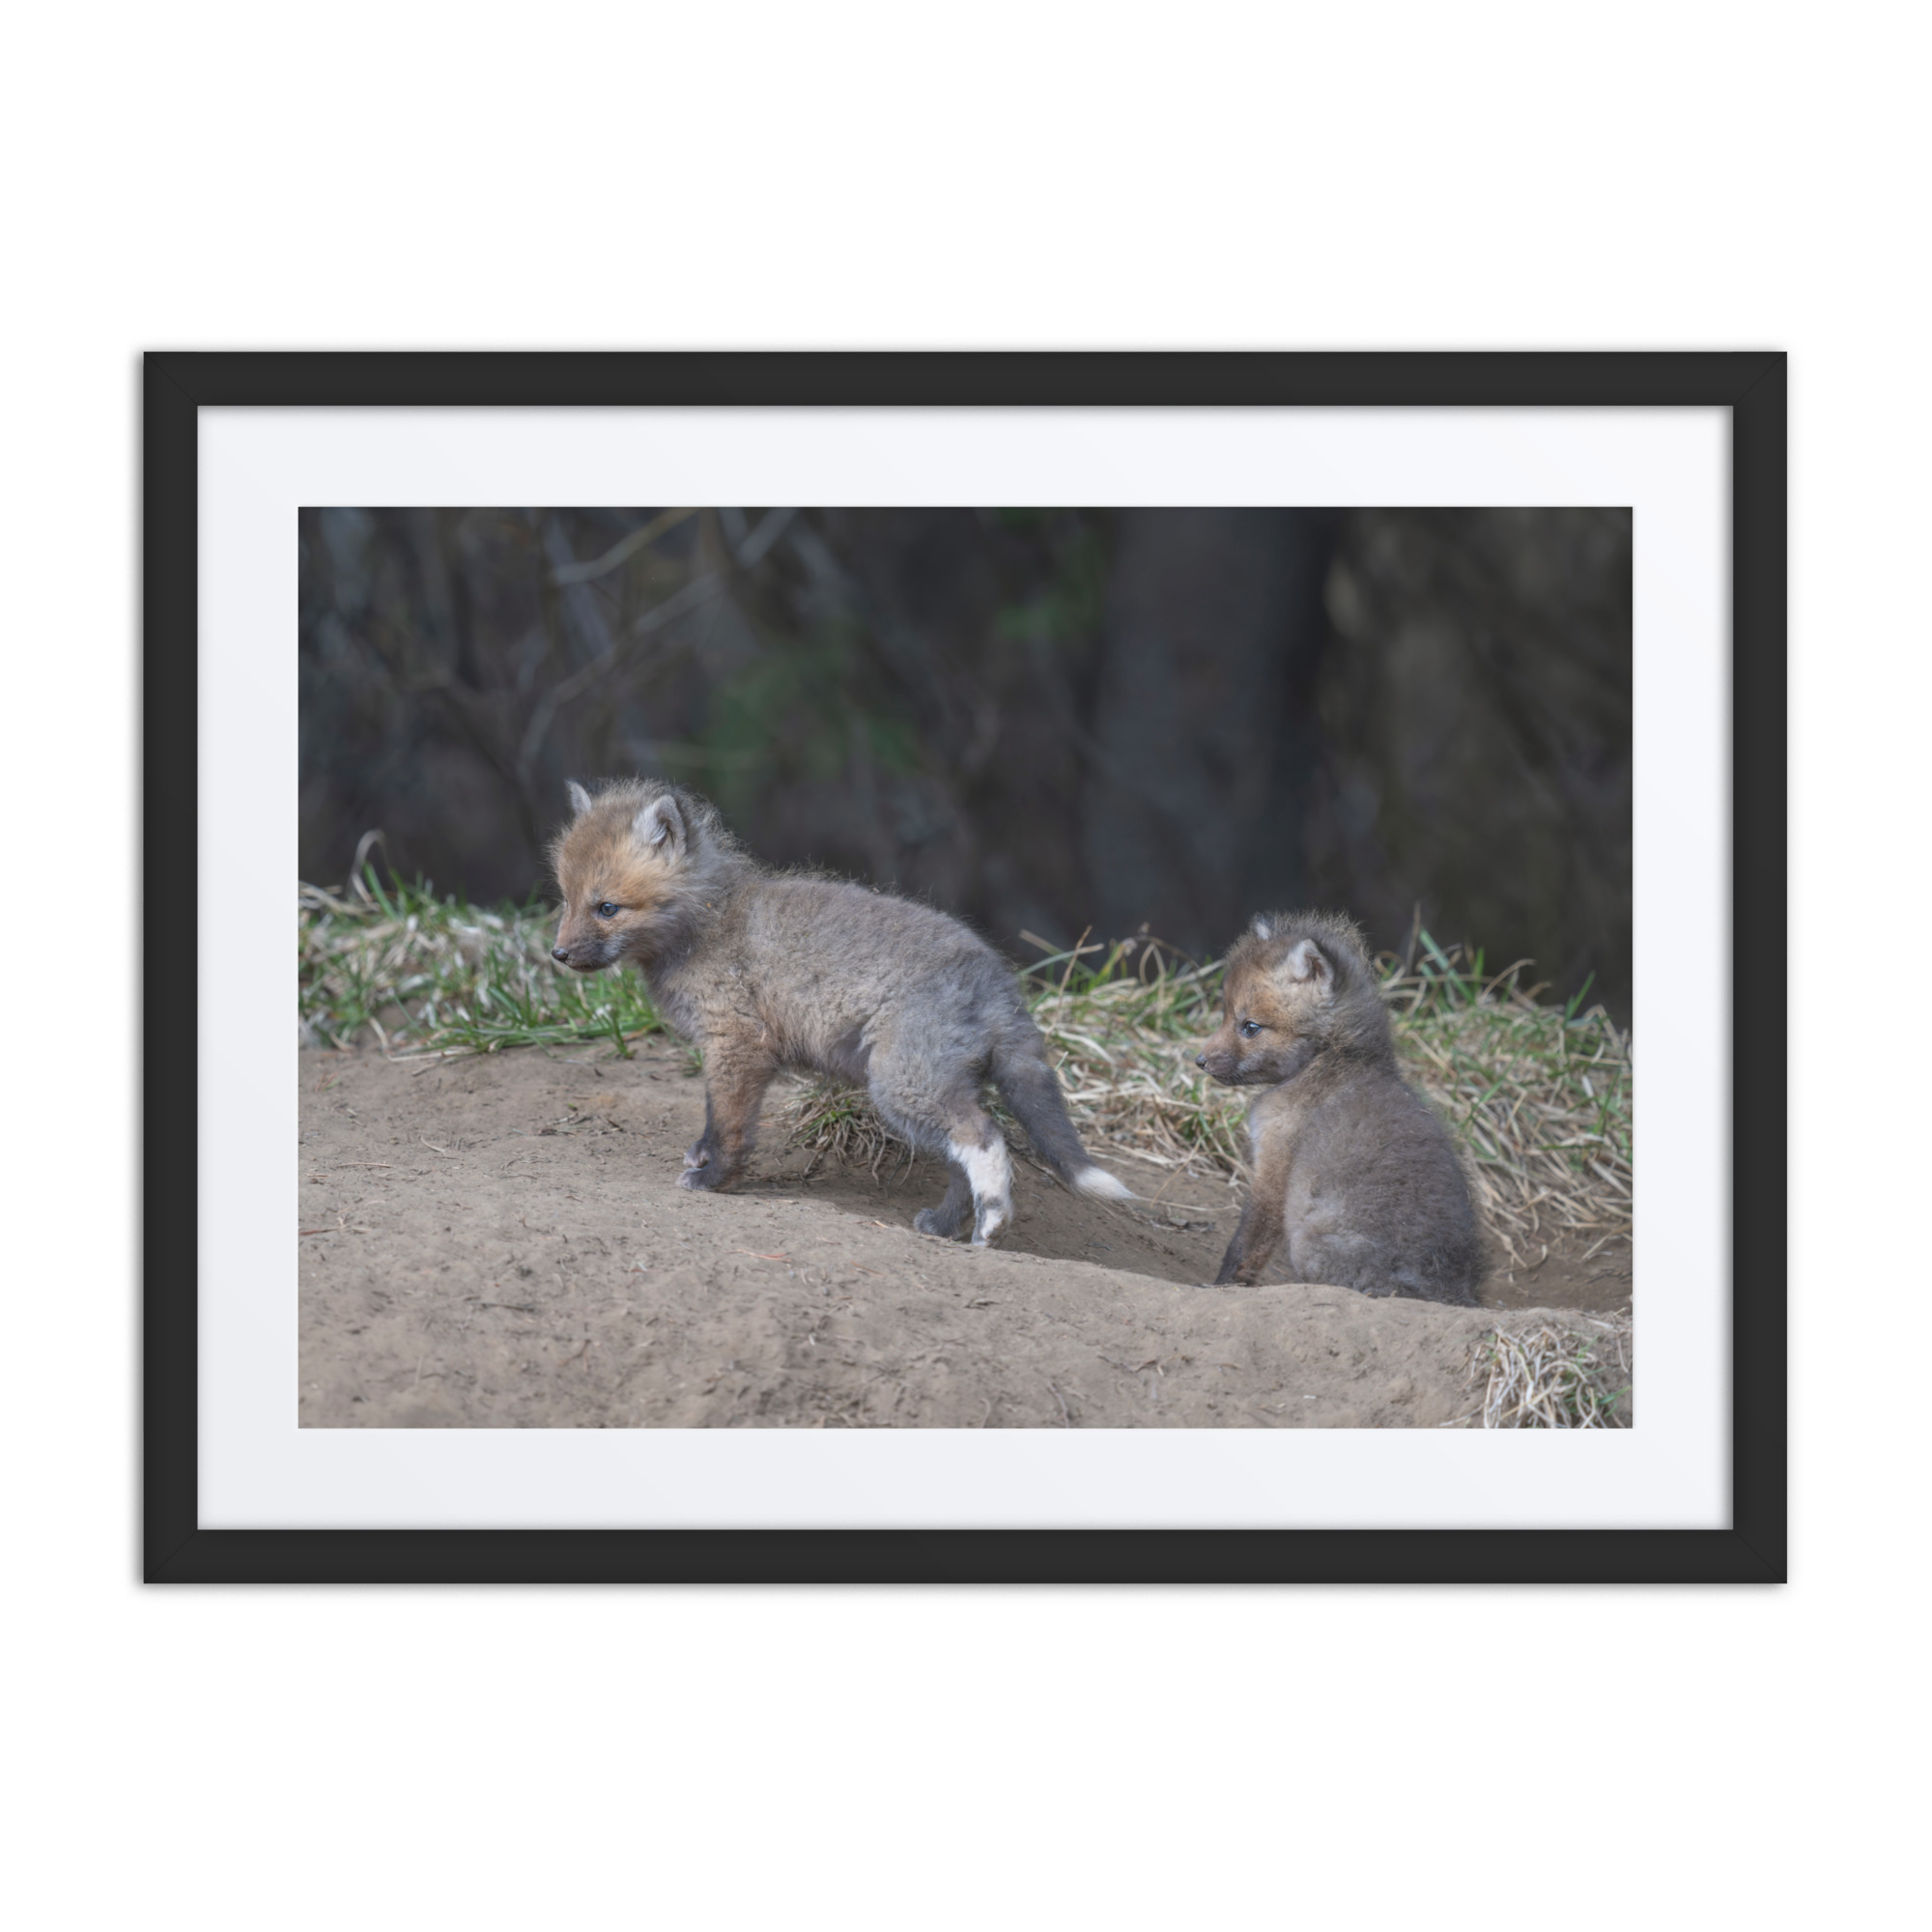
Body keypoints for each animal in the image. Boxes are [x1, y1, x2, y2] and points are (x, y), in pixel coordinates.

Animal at [549, 778, 1134, 1245]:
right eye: (566, 900)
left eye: (607, 908)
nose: (557, 955)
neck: (708, 923)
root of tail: (1000, 982)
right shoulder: (734, 1050)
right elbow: (716, 1118)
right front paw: (704, 1158)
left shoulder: (738, 1043)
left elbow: (729, 1123)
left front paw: (714, 1180)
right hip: (929, 1091)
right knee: (960, 1161)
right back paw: (946, 1226)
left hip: (902, 1086)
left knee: (984, 1138)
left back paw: (993, 1223)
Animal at [1195, 911, 1482, 1304]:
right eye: (1225, 1015)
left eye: (1250, 1027)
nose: (1199, 1060)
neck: (1332, 1059)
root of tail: (1444, 1290)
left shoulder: (1274, 1165)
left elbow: (1246, 1243)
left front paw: (1222, 1286)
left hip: (1307, 1242)